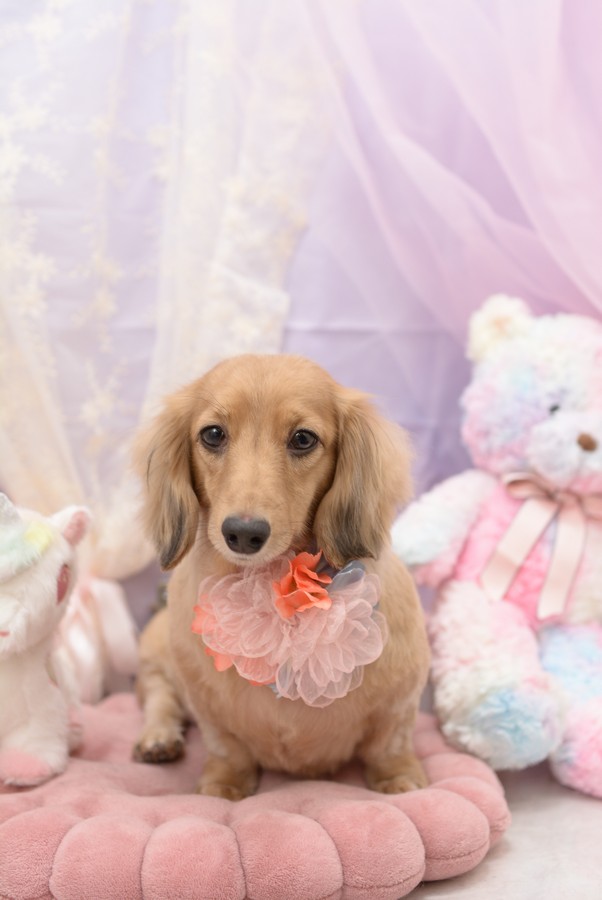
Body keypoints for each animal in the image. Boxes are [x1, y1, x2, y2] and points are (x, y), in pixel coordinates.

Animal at [133, 354, 430, 799]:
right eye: (213, 434)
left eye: (303, 439)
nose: (243, 533)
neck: (274, 585)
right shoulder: (208, 707)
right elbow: (226, 748)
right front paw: (221, 787)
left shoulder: (401, 698)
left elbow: (390, 744)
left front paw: (401, 780)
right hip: (156, 650)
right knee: (158, 695)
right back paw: (158, 737)